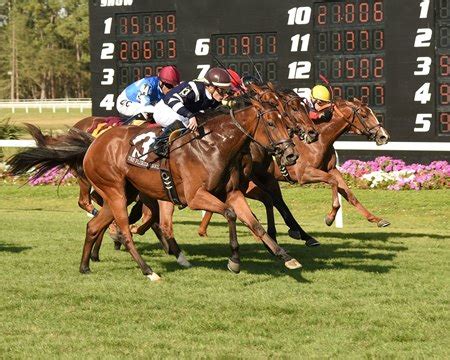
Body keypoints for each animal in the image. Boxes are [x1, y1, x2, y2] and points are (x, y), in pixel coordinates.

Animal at [8, 99, 302, 282]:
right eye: (272, 124)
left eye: (286, 121)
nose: (291, 155)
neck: (214, 145)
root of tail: (93, 143)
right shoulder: (195, 197)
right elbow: (230, 214)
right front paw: (235, 261)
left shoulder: (233, 193)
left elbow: (255, 224)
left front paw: (286, 257)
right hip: (115, 192)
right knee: (125, 232)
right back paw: (148, 271)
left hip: (122, 193)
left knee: (94, 226)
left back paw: (85, 266)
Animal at [197, 97, 390, 239]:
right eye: (364, 114)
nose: (384, 136)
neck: (318, 139)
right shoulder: (304, 175)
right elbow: (332, 182)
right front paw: (330, 217)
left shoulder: (331, 169)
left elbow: (349, 194)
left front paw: (377, 219)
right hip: (250, 183)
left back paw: (204, 229)